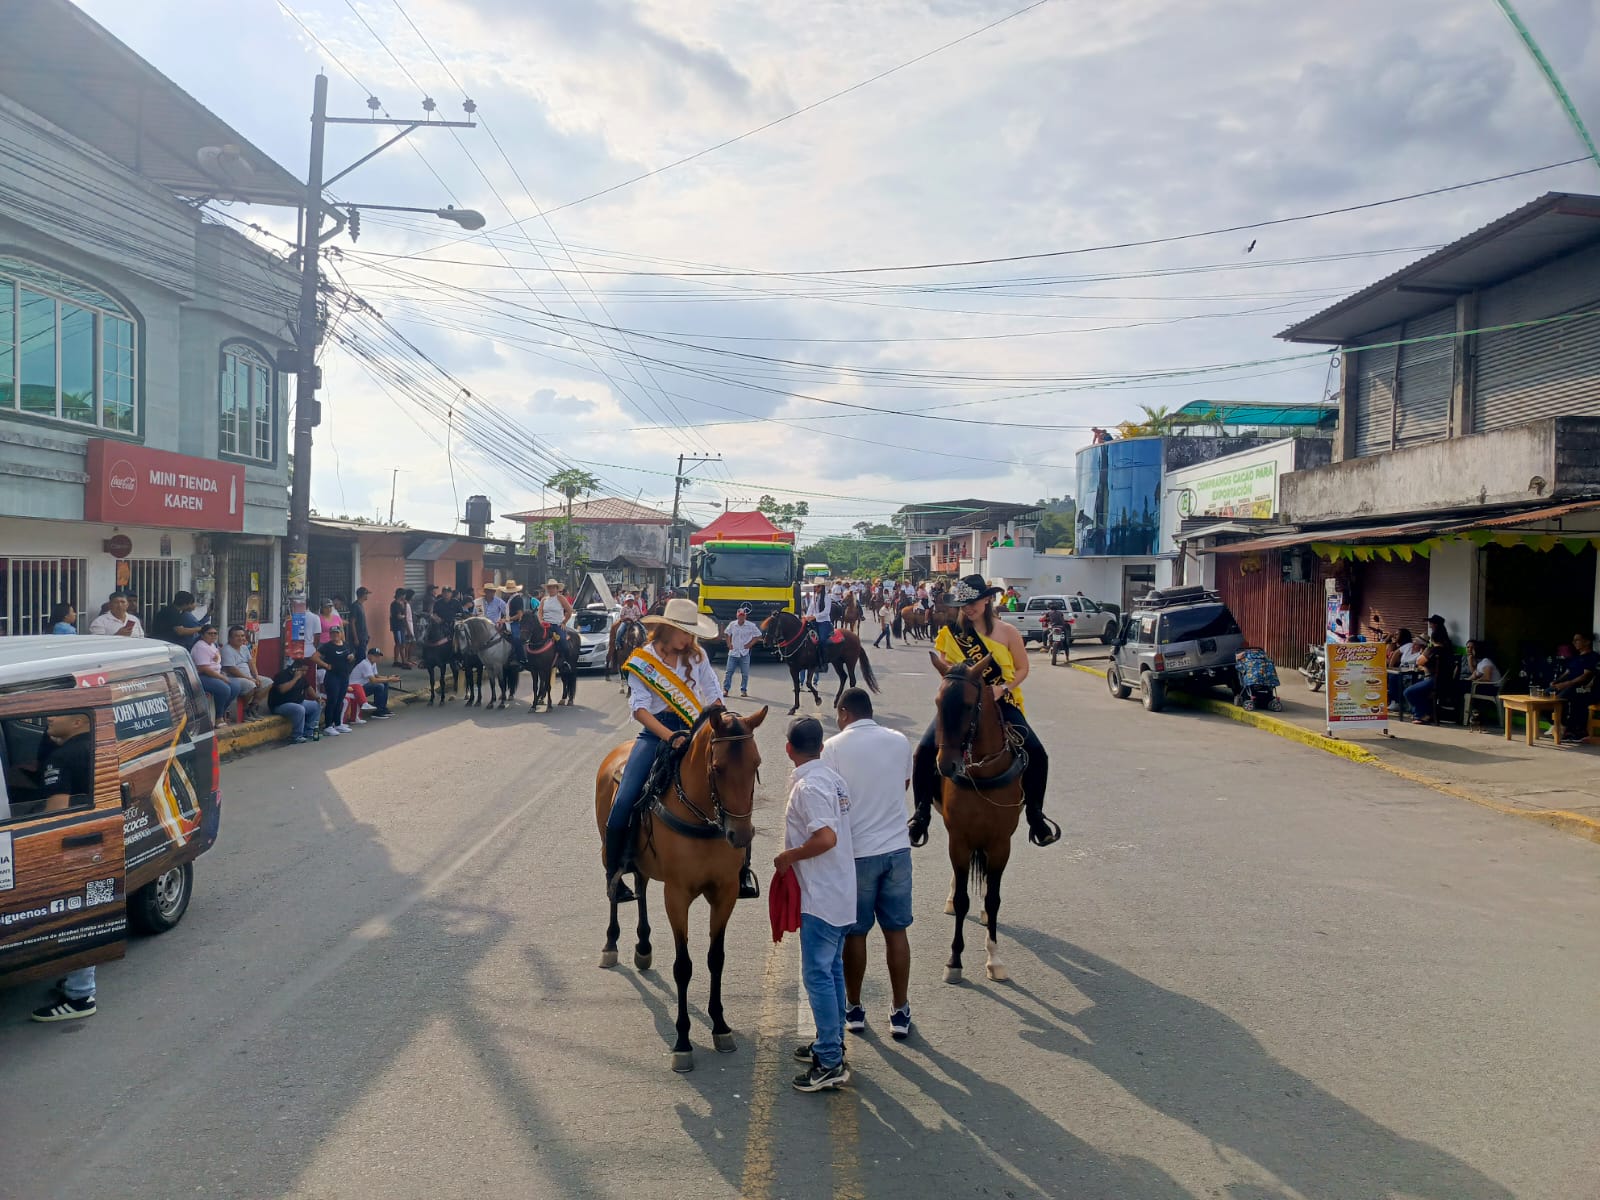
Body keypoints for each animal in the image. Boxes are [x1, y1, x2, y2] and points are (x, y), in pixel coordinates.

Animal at [594, 702, 770, 1072]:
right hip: (608, 847)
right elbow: (683, 967)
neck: (703, 818)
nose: (740, 835)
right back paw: (611, 943)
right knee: (614, 888)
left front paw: (720, 1026)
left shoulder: (725, 893)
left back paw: (643, 946)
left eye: (756, 763)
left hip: (644, 862)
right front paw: (683, 1041)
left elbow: (716, 958)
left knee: (641, 885)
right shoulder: (677, 896)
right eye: (717, 768)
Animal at [928, 653, 1026, 986]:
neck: (983, 774)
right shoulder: (959, 839)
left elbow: (993, 899)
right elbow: (961, 899)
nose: (946, 765)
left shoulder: (1001, 844)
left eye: (969, 706)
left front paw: (994, 958)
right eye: (937, 702)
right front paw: (954, 961)